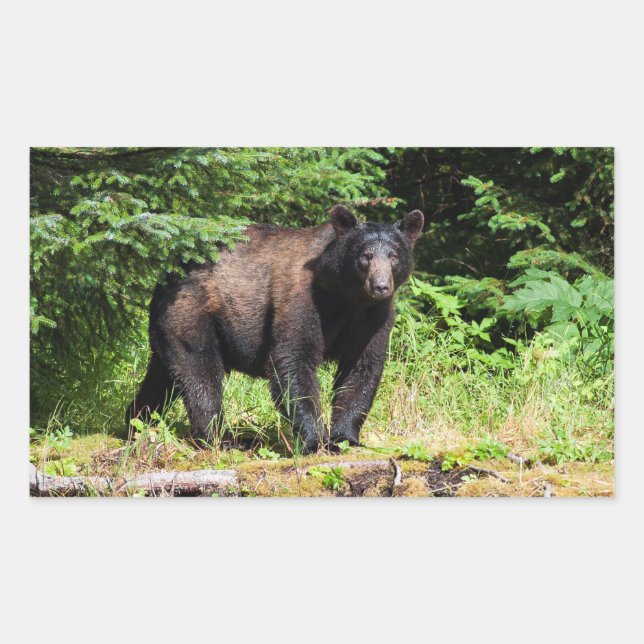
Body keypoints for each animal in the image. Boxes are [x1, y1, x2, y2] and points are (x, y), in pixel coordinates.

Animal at [126, 205, 424, 453]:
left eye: (394, 256)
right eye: (365, 256)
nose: (380, 286)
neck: (347, 297)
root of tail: (166, 274)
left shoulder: (373, 317)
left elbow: (362, 368)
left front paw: (345, 438)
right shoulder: (303, 299)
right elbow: (293, 360)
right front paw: (315, 441)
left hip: (170, 327)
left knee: (163, 376)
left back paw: (136, 421)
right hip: (192, 313)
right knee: (200, 373)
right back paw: (222, 439)